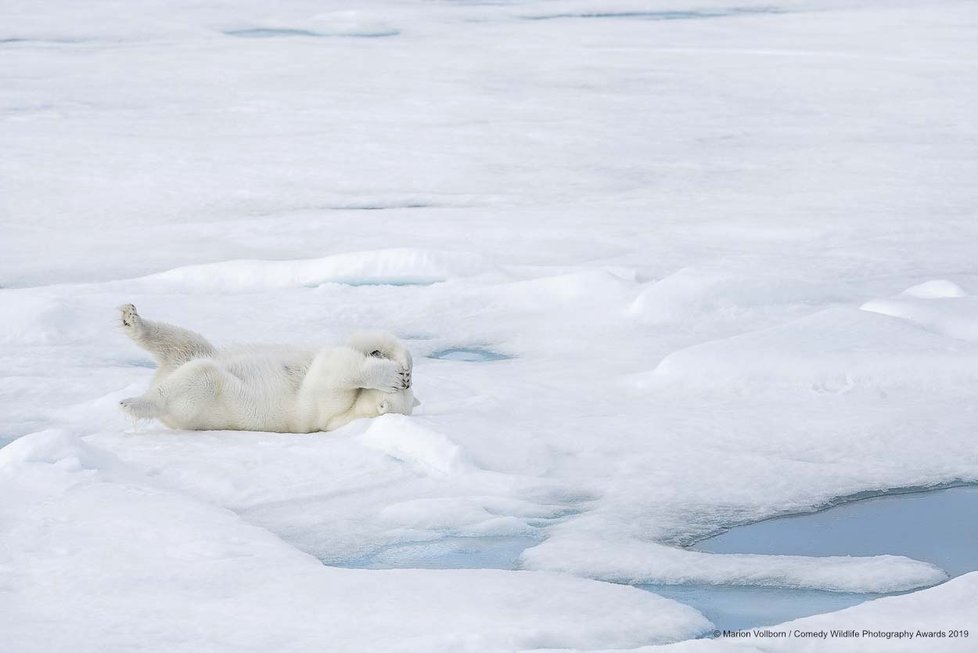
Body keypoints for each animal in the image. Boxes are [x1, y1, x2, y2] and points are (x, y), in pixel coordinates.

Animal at [117, 304, 416, 432]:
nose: (404, 379)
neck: (356, 411)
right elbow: (354, 343)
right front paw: (401, 363)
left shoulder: (327, 410)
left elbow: (335, 369)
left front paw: (389, 375)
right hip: (192, 353)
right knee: (184, 342)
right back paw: (130, 319)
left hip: (202, 402)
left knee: (198, 376)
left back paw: (133, 403)